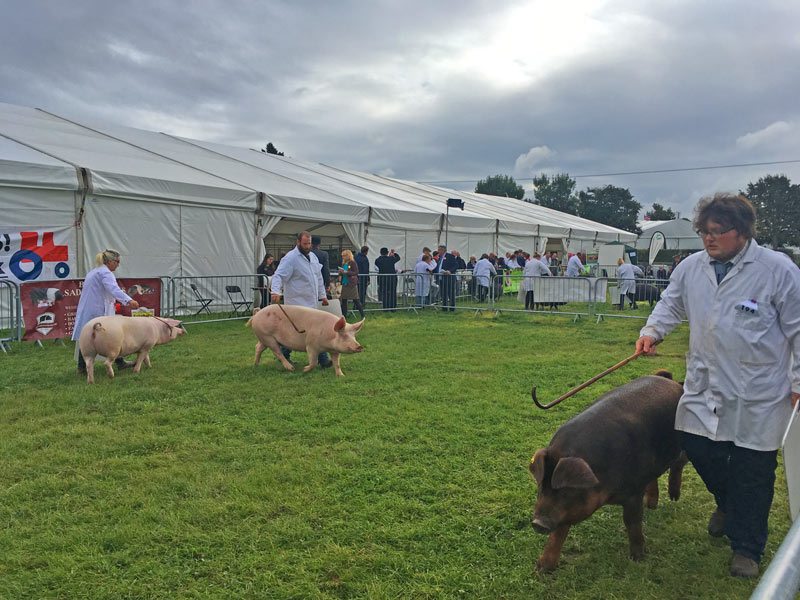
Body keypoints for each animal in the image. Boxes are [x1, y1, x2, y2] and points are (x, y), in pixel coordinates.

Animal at [528, 370, 684, 572]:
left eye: (566, 491)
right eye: (542, 487)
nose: (538, 523)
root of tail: (668, 379)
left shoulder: (634, 491)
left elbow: (632, 522)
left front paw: (637, 558)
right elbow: (559, 532)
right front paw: (542, 568)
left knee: (678, 464)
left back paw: (673, 497)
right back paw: (651, 505)